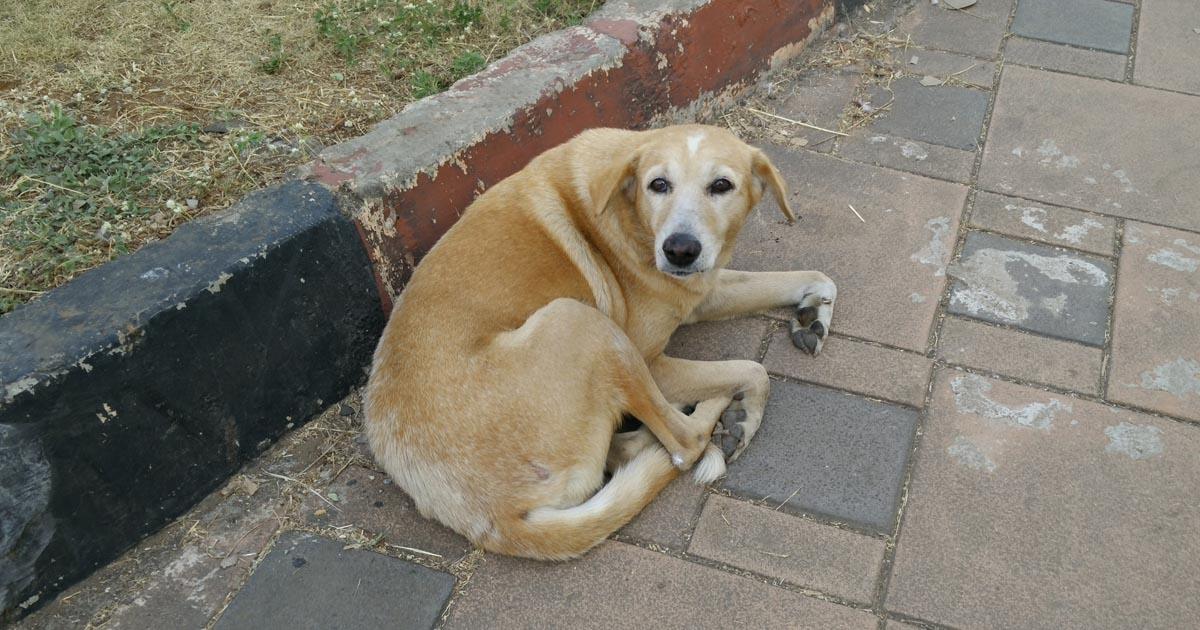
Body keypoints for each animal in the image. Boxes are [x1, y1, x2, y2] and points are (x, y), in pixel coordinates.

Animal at [362, 125, 835, 556]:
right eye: (658, 184)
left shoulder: (700, 290)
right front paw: (746, 419)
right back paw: (715, 413)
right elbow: (756, 371)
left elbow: (815, 277)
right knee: (685, 443)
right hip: (584, 322)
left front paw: (815, 312)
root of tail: (490, 520)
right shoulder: (652, 356)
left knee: (627, 452)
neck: (626, 204)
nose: (680, 250)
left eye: (722, 185)